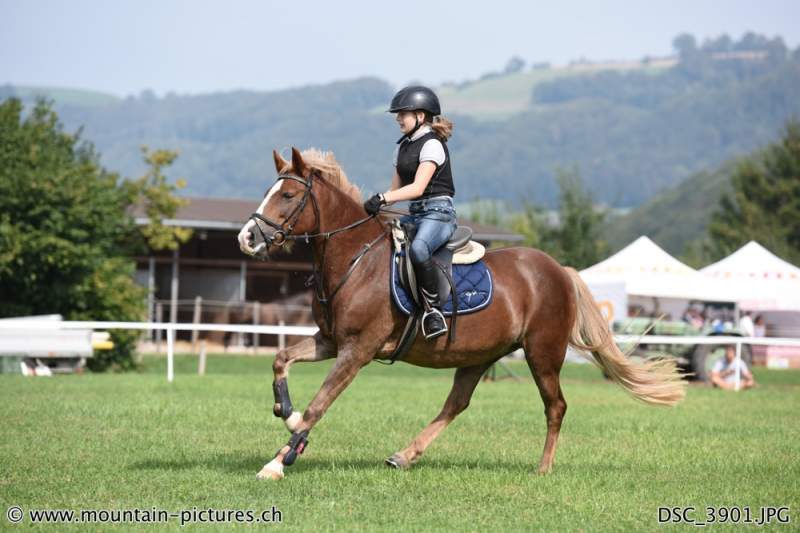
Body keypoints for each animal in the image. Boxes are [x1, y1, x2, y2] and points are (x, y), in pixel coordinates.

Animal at [234, 148, 684, 480]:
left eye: (288, 196)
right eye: (270, 191)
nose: (246, 238)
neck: (355, 259)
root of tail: (559, 270)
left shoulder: (357, 350)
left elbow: (320, 403)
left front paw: (279, 459)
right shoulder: (330, 341)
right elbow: (280, 360)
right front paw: (286, 413)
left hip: (542, 354)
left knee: (555, 407)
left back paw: (543, 468)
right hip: (478, 355)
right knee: (456, 405)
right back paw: (404, 455)